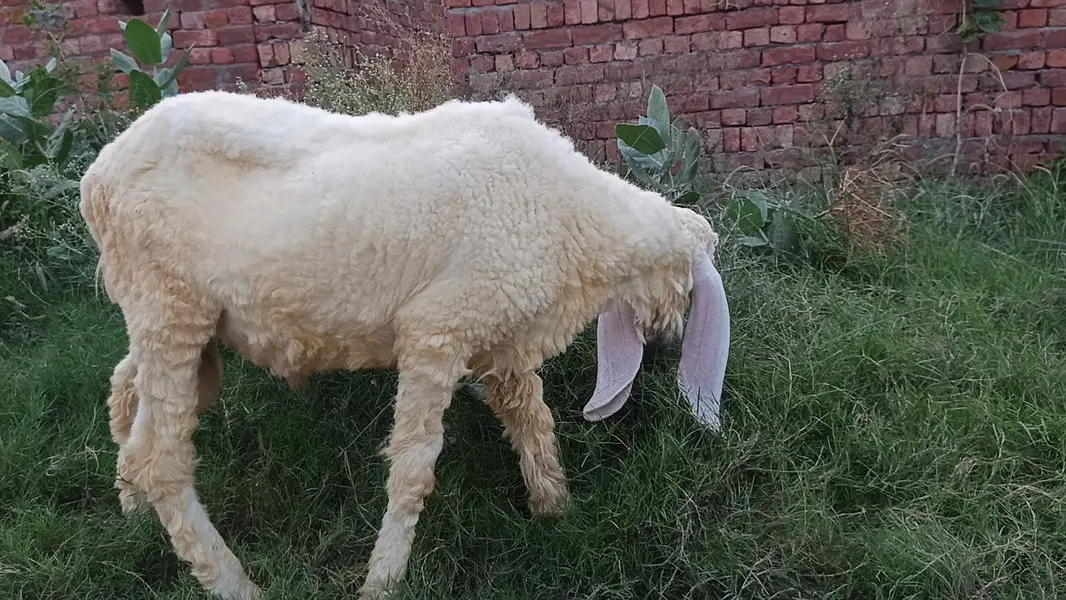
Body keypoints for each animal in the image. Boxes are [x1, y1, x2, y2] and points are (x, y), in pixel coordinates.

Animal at [78, 89, 731, 600]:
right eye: (691, 290)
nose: (669, 338)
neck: (571, 217)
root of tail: (98, 175)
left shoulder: (502, 338)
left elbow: (531, 420)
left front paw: (556, 508)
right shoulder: (438, 328)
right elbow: (413, 468)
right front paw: (382, 580)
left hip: (172, 319)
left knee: (125, 389)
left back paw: (131, 505)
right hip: (170, 304)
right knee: (162, 457)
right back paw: (233, 582)